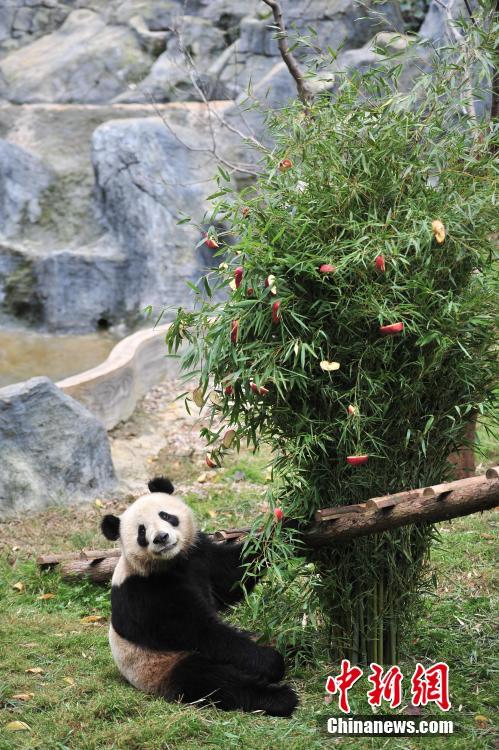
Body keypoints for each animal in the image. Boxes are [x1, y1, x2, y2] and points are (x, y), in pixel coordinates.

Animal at [99, 478, 298, 720]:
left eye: (165, 515)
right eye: (141, 531)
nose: (161, 538)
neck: (172, 562)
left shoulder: (199, 553)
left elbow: (233, 574)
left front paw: (289, 524)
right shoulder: (144, 593)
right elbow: (198, 631)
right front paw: (270, 662)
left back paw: (297, 647)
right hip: (158, 665)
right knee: (212, 679)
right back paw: (279, 697)